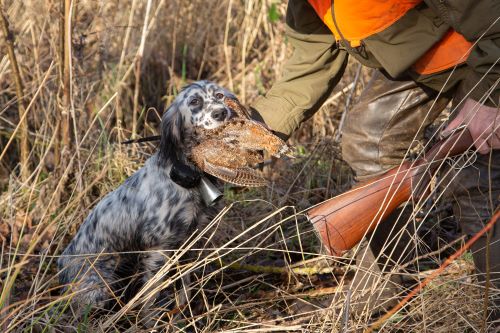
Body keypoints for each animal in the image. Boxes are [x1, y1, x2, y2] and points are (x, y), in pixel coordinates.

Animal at [57, 80, 237, 314]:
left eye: (220, 96)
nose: (221, 112)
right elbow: (152, 297)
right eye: (194, 101)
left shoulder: (189, 242)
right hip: (97, 289)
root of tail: (61, 263)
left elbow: (184, 288)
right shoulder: (157, 249)